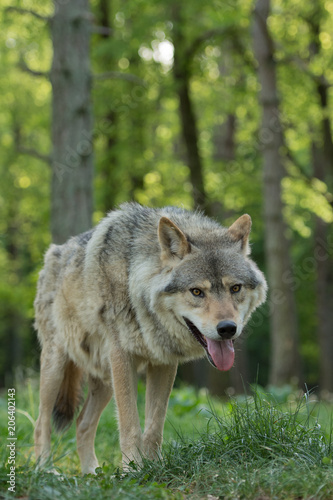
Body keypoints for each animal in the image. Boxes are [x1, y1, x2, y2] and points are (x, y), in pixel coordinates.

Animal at [33, 202, 266, 472]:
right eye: (197, 292)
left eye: (235, 288)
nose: (227, 328)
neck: (134, 279)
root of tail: (53, 253)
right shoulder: (122, 357)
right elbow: (130, 426)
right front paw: (131, 470)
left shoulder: (163, 362)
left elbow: (154, 426)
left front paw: (154, 467)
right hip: (57, 368)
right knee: (41, 423)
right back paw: (46, 469)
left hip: (105, 381)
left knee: (82, 424)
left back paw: (91, 473)